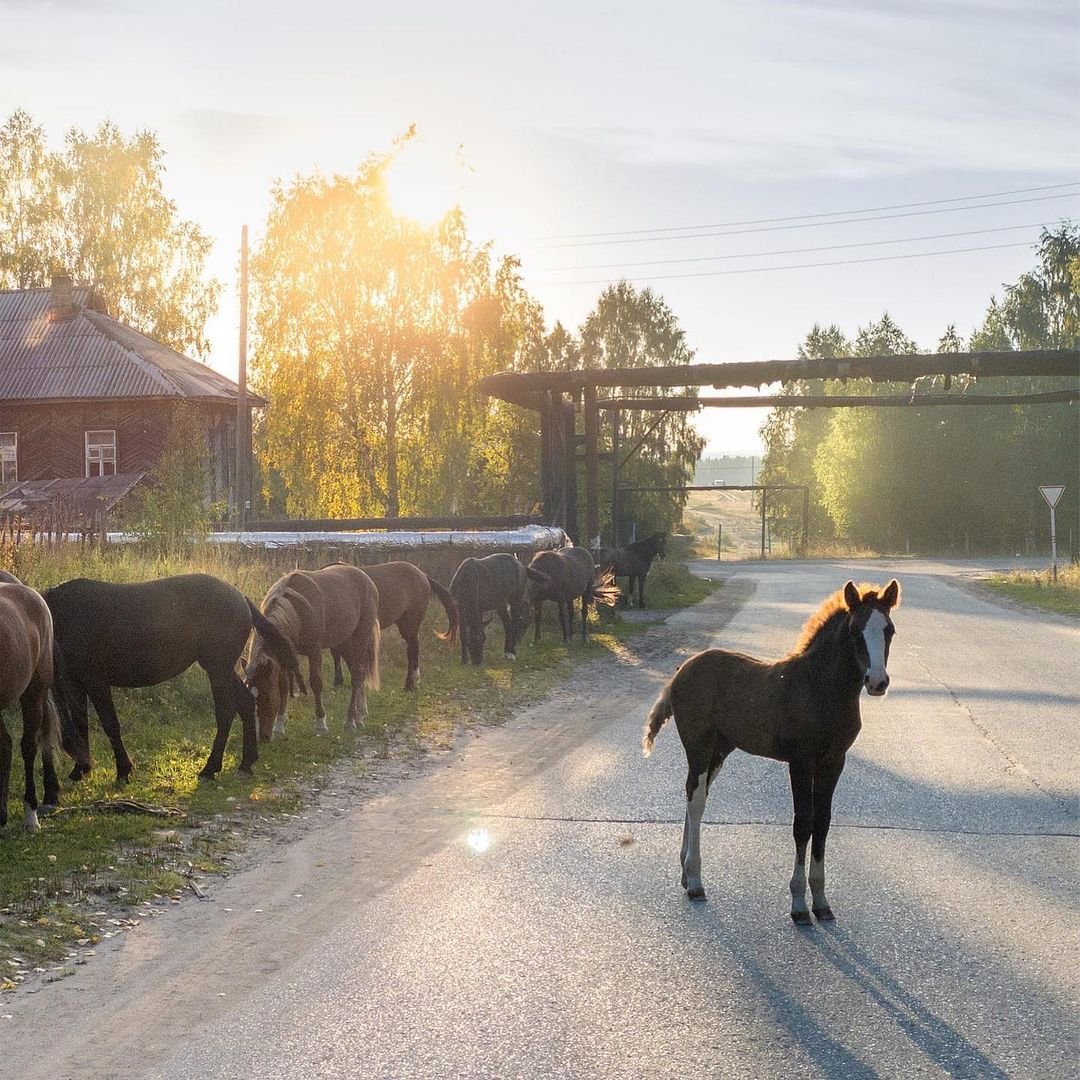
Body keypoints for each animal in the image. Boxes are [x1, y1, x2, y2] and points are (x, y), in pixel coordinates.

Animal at [44, 578, 300, 781]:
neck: (66, 614)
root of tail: (240, 597)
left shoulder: (95, 681)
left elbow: (110, 724)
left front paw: (124, 770)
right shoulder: (75, 682)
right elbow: (81, 723)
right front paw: (80, 769)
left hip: (218, 669)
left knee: (226, 711)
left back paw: (210, 768)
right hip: (223, 668)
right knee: (246, 703)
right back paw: (246, 763)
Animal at [247, 565, 382, 734]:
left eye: (266, 696)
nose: (259, 734)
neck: (296, 610)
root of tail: (366, 579)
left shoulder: (314, 651)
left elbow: (316, 683)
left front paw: (321, 724)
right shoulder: (283, 654)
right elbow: (284, 686)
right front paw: (279, 726)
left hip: (360, 637)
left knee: (357, 674)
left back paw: (351, 720)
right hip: (343, 642)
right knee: (358, 673)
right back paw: (360, 713)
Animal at [328, 565, 460, 691]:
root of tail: (423, 575)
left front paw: (341, 682)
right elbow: (336, 654)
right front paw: (339, 682)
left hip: (411, 623)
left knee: (414, 648)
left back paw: (411, 684)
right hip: (404, 624)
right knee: (410, 650)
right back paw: (410, 683)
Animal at [639, 578, 902, 924]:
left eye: (889, 630)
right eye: (855, 630)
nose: (877, 682)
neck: (819, 689)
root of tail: (682, 669)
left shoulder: (834, 761)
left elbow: (823, 822)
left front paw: (822, 902)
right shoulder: (800, 761)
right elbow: (803, 823)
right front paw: (799, 905)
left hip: (720, 749)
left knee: (696, 794)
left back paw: (685, 874)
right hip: (699, 744)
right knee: (696, 801)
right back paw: (695, 881)